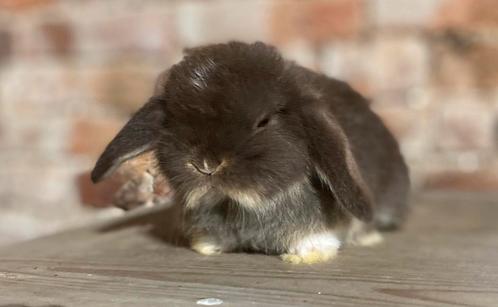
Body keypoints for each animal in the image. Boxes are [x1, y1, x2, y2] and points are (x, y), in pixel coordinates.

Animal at [91, 42, 410, 266]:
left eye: (263, 122)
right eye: (172, 121)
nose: (206, 164)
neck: (239, 205)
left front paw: (304, 256)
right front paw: (208, 247)